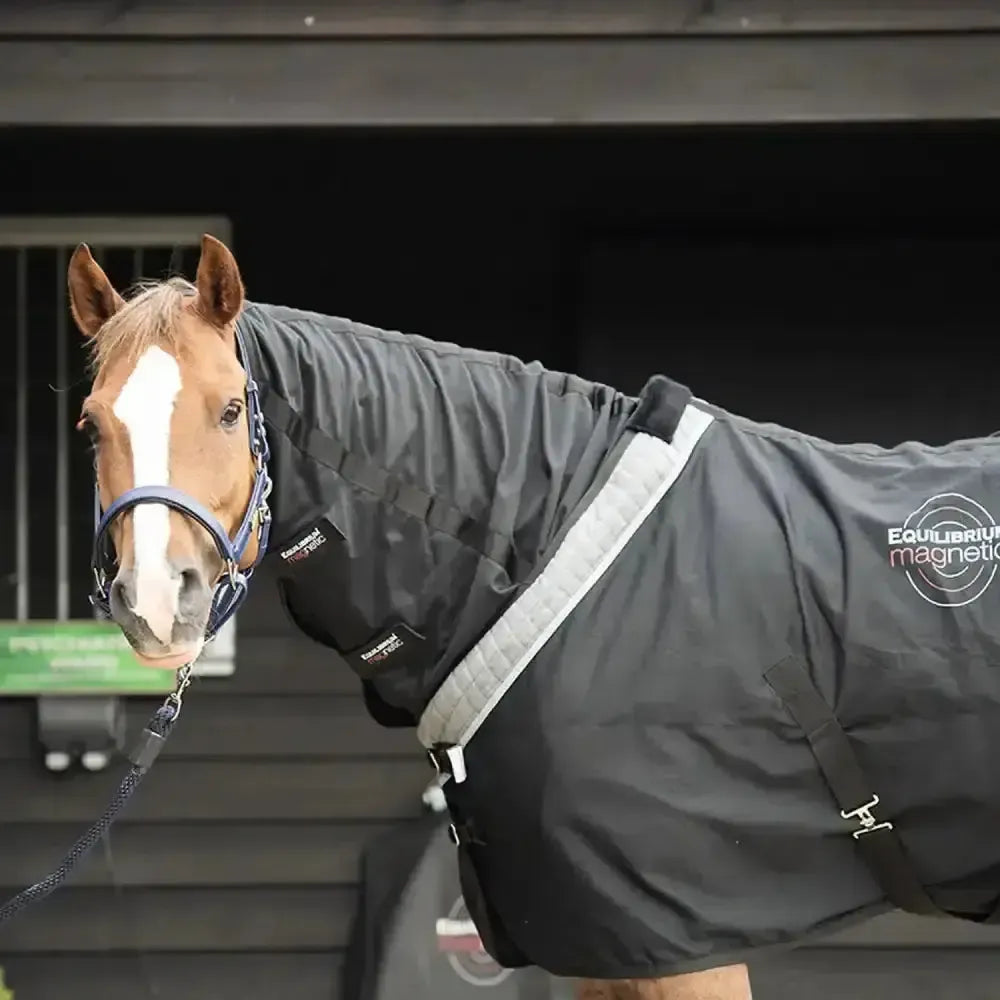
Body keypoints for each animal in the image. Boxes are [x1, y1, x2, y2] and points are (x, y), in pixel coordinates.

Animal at [68, 234, 1000, 999]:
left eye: (230, 410)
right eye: (90, 426)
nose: (157, 600)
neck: (549, 547)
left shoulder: (679, 940)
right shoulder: (606, 943)